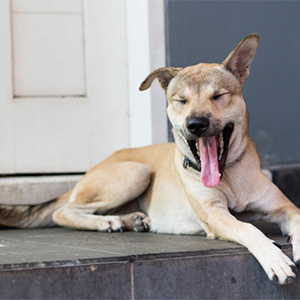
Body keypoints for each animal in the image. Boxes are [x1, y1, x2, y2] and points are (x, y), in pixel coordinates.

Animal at [0, 32, 300, 284]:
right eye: (180, 101)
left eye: (218, 95)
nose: (196, 124)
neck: (229, 174)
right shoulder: (215, 215)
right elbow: (249, 229)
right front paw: (273, 257)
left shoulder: (284, 207)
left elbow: (295, 217)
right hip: (136, 172)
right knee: (64, 212)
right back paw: (107, 221)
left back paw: (130, 220)